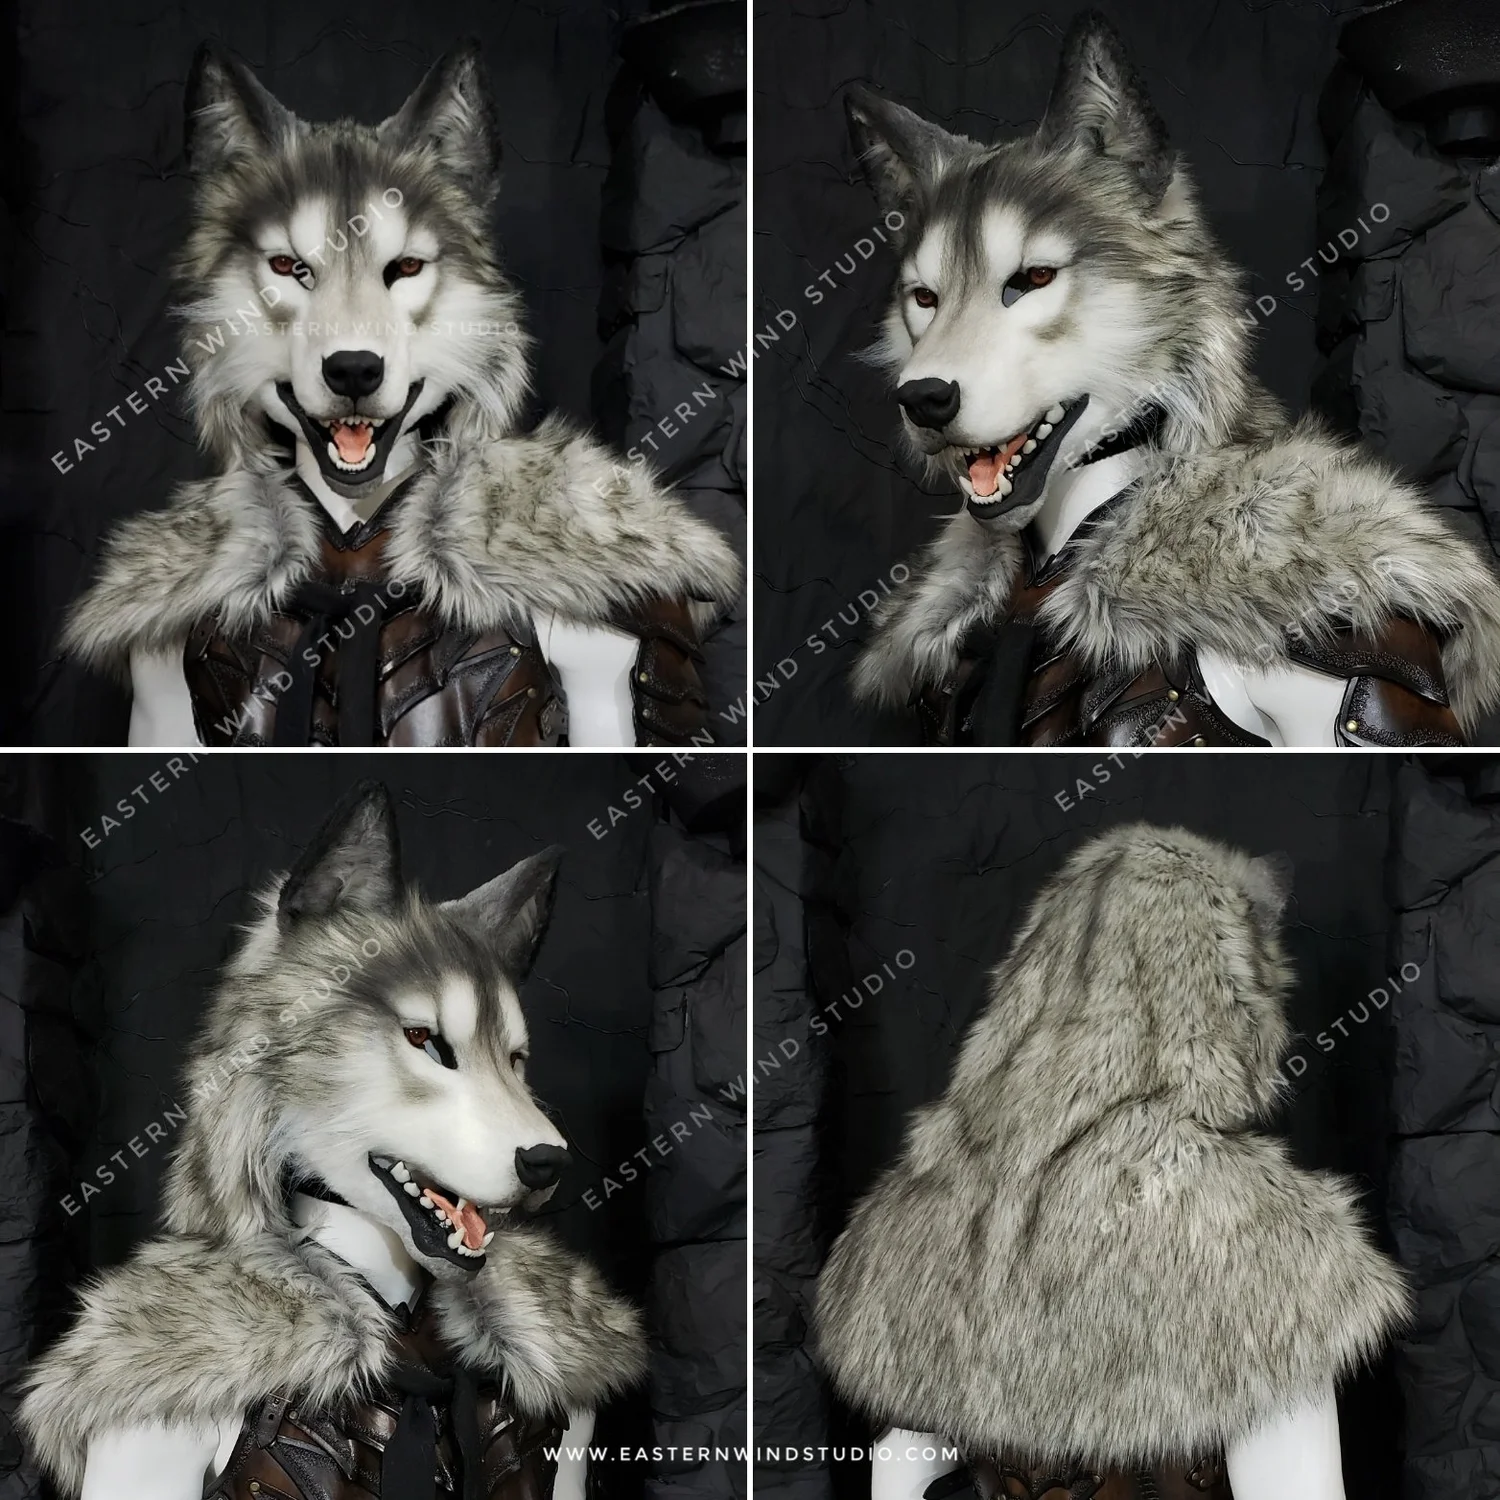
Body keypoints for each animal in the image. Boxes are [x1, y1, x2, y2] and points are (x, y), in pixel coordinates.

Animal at [61, 41, 740, 747]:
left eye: (406, 268)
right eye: (290, 268)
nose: (354, 370)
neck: (352, 541)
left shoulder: (633, 627)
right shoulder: (156, 669)